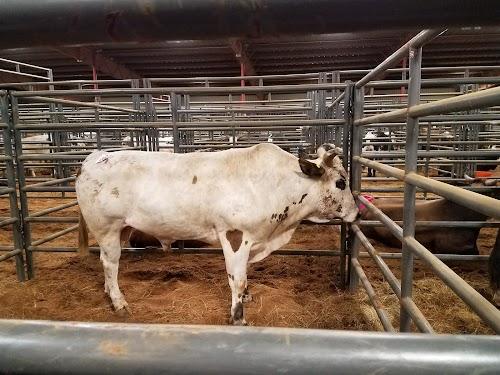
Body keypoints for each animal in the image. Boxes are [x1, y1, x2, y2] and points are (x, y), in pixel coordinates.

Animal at [76, 144, 360, 326]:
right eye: (341, 182)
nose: (357, 213)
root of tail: (94, 158)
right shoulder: (235, 236)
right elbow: (237, 279)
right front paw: (238, 316)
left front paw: (247, 297)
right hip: (107, 228)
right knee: (110, 263)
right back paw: (119, 303)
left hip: (122, 230)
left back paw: (109, 292)